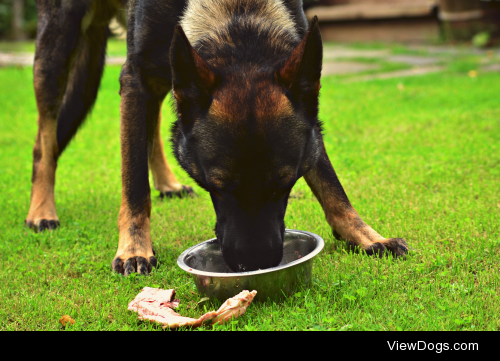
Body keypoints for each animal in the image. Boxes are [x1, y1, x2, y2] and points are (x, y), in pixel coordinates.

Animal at [27, 0, 408, 274]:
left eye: (285, 185)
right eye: (219, 187)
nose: (253, 265)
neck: (237, 15)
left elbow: (331, 183)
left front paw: (366, 236)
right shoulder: (135, 78)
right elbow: (133, 181)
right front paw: (135, 248)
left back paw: (167, 182)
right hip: (58, 46)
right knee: (44, 140)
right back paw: (42, 208)